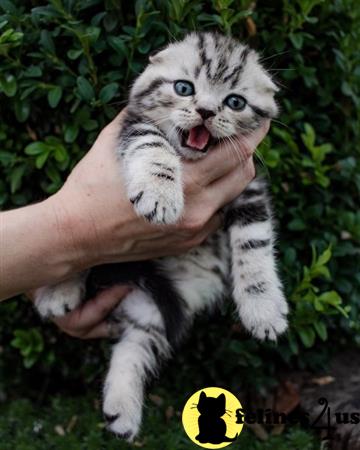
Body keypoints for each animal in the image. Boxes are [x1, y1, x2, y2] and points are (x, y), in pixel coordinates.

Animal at [35, 33, 290, 442]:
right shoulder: (133, 126)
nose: (205, 111)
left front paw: (262, 307)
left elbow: (254, 244)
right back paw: (59, 291)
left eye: (234, 101)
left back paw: (122, 409)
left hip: (165, 306)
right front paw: (160, 192)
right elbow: (151, 144)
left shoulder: (249, 187)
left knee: (135, 345)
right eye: (184, 88)